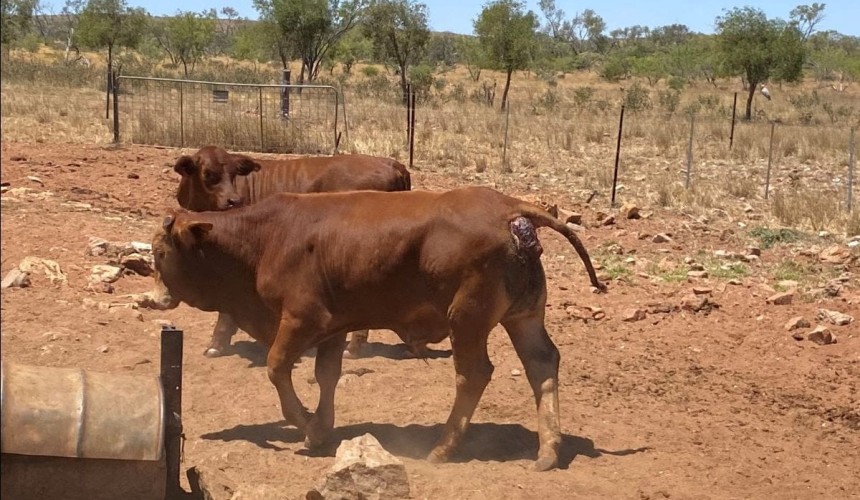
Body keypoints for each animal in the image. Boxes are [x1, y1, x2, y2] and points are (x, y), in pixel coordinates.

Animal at [150, 186, 606, 471]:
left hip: (467, 319)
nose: (153, 299)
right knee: (542, 365)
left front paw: (308, 427)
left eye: (158, 252)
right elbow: (326, 375)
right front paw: (321, 428)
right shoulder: (334, 326)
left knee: (474, 374)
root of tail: (510, 209)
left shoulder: (302, 319)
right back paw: (548, 449)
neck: (267, 237)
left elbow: (277, 368)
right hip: (523, 317)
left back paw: (443, 448)